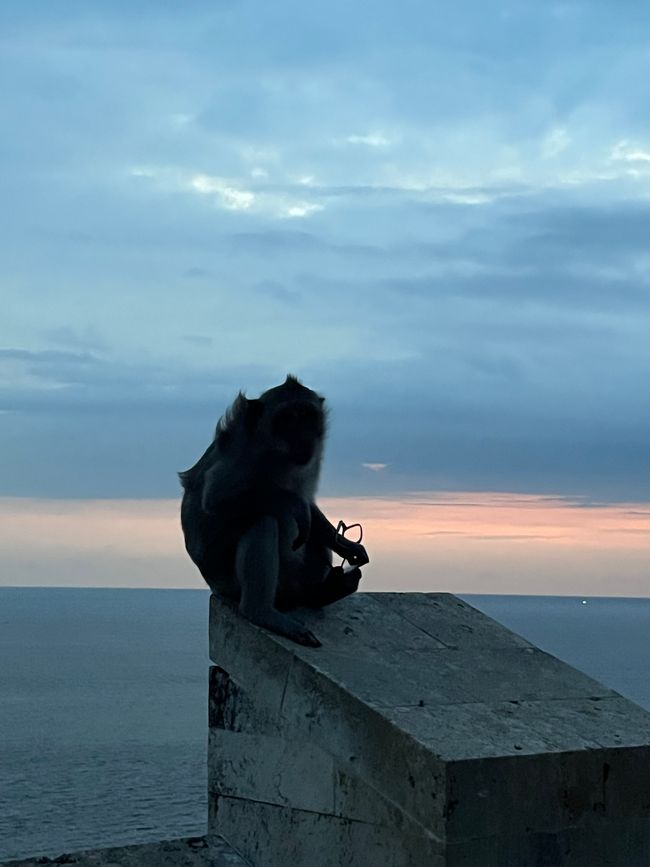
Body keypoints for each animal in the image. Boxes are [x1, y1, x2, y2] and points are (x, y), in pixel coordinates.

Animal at [179, 375, 369, 647]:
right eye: (287, 418)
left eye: (307, 416)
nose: (302, 435)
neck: (277, 452)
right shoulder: (242, 453)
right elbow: (216, 500)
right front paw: (292, 502)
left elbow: (310, 508)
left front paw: (347, 545)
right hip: (231, 583)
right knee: (264, 522)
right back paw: (261, 612)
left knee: (310, 532)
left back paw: (322, 591)